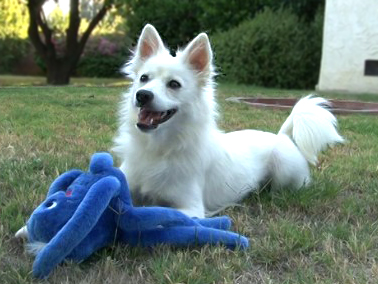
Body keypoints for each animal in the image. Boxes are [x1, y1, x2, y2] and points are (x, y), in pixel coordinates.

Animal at [110, 24, 344, 219]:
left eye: (174, 84)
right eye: (143, 79)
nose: (142, 95)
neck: (158, 148)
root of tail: (282, 136)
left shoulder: (191, 208)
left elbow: (155, 213)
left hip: (285, 172)